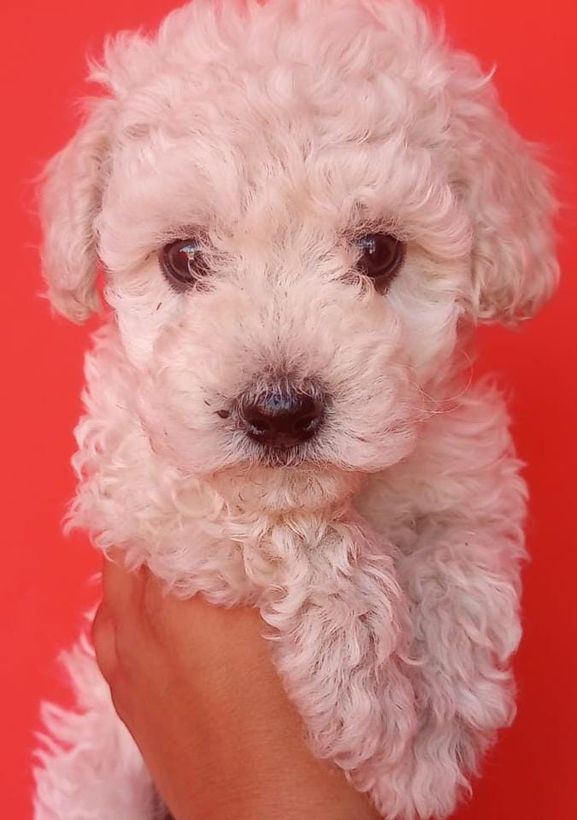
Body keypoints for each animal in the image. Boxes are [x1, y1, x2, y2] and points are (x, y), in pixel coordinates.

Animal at [32, 1, 560, 820]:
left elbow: (459, 559)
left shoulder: (462, 462)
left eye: (377, 253)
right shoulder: (136, 474)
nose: (279, 410)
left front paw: (432, 738)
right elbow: (276, 526)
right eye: (183, 259)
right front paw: (363, 686)